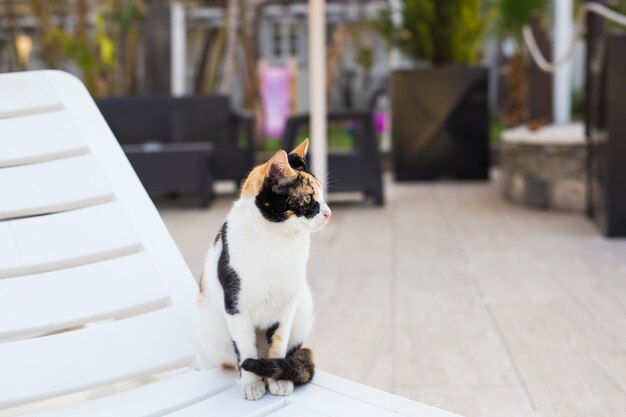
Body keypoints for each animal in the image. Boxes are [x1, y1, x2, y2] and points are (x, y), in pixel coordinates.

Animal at [196, 140, 332, 400]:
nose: (329, 212)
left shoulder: (287, 305)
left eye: (322, 196)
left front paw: (277, 381)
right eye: (308, 198)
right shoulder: (236, 305)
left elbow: (278, 345)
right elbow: (245, 350)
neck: (276, 241)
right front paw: (251, 383)